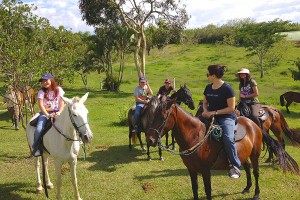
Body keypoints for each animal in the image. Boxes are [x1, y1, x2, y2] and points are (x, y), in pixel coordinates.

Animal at [146, 101, 298, 200]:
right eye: (152, 115)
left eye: (163, 116)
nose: (150, 140)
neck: (196, 137)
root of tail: (254, 124)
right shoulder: (192, 170)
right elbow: (195, 189)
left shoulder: (205, 171)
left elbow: (208, 191)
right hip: (243, 155)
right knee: (247, 168)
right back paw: (247, 188)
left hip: (255, 154)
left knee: (255, 172)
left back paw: (256, 193)